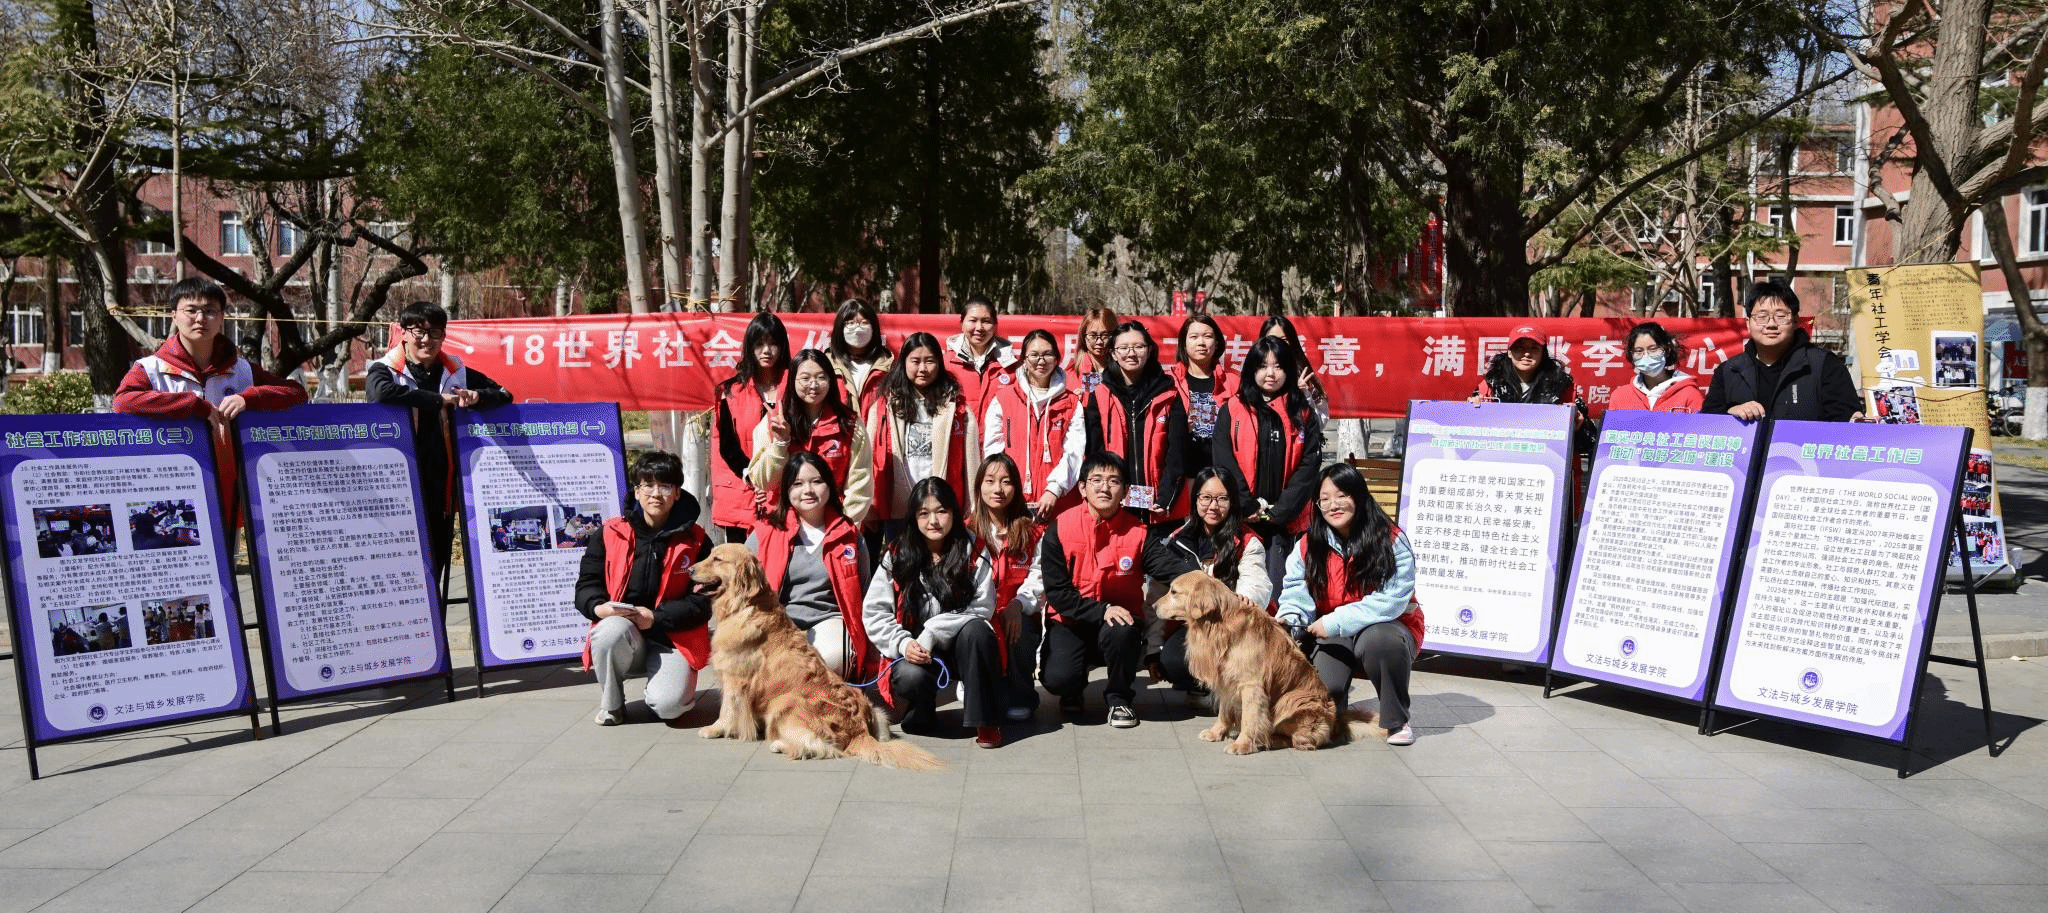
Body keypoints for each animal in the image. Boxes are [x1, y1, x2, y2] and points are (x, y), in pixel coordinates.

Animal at [690, 544, 946, 770]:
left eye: (718, 559)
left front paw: (715, 729)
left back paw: (779, 744)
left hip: (784, 703)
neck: (745, 605)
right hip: (875, 711)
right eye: (710, 555)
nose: (690, 569)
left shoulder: (735, 680)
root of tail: (859, 731)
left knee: (819, 746)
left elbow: (727, 709)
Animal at [1153, 571, 1375, 753]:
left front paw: (1243, 744)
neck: (1219, 623)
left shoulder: (1252, 686)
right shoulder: (1227, 681)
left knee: (1300, 741)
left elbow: (1250, 718)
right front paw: (1216, 733)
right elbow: (1224, 713)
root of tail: (1336, 723)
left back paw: (1269, 739)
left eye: (1173, 591)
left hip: (1292, 701)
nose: (1153, 605)